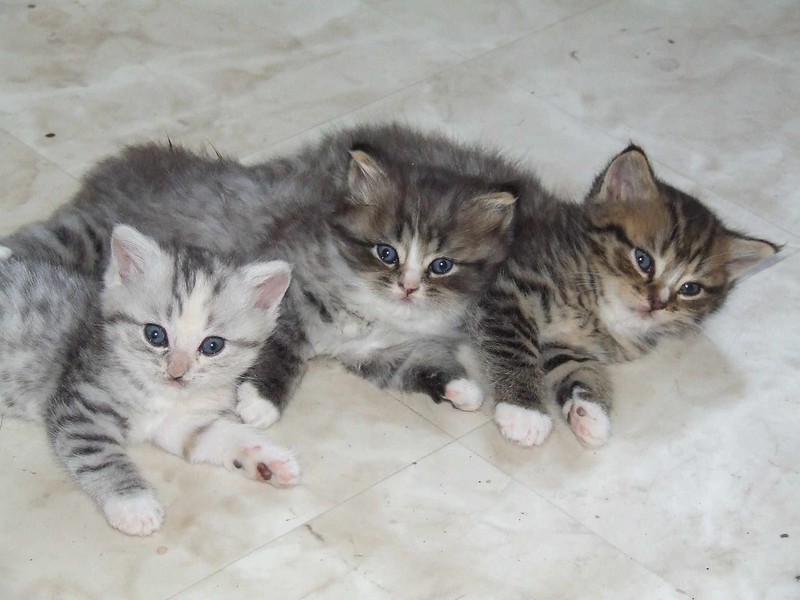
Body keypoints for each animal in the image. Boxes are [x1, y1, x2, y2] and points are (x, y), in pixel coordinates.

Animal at [0, 225, 297, 536]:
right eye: (155, 335)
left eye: (212, 345)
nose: (176, 372)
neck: (160, 395)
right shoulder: (81, 404)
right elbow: (99, 454)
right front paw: (133, 504)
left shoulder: (176, 422)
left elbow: (215, 433)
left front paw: (268, 458)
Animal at [1, 126, 521, 428]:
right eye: (386, 253)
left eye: (441, 265)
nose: (408, 287)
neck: (376, 313)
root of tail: (126, 161)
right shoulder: (285, 299)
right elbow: (279, 353)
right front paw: (259, 403)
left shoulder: (383, 355)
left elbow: (424, 366)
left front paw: (465, 390)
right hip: (91, 234)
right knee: (43, 235)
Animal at [474, 145, 780, 447]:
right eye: (643, 260)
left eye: (690, 289)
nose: (657, 303)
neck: (599, 308)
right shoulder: (510, 290)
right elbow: (514, 349)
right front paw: (524, 412)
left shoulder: (564, 343)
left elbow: (577, 366)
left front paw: (590, 410)